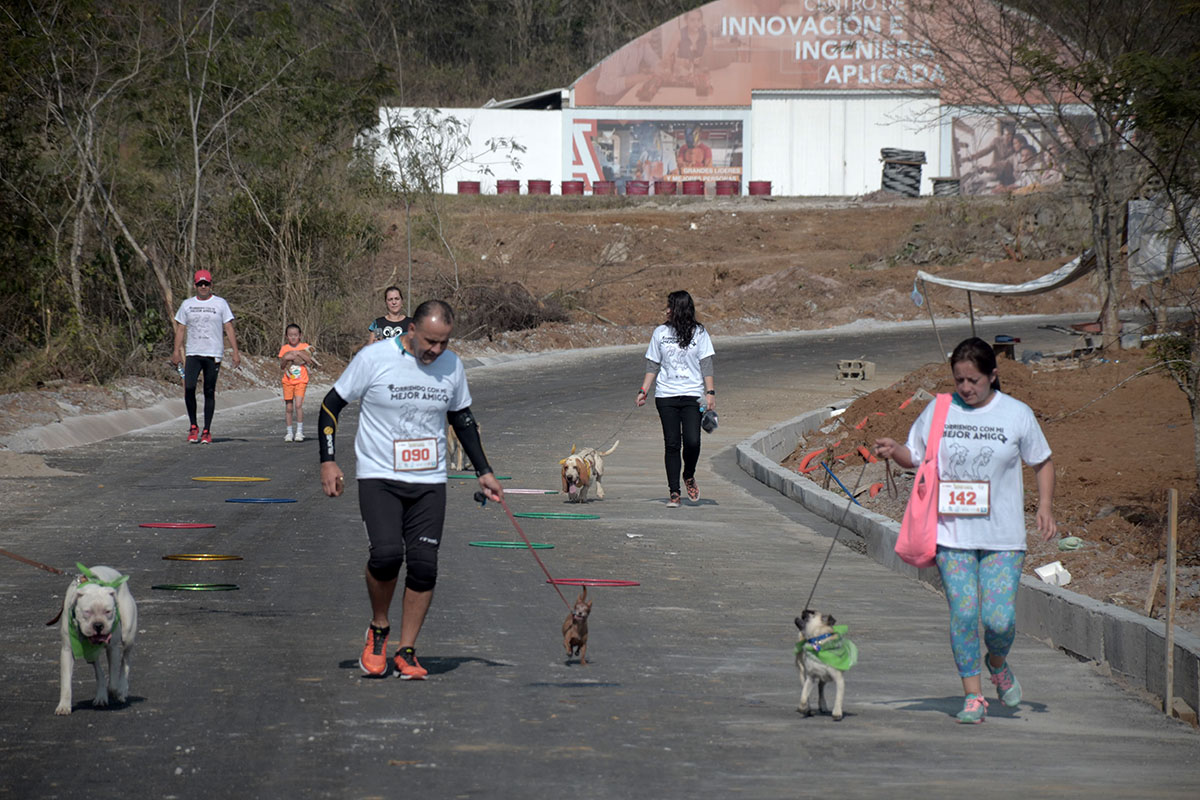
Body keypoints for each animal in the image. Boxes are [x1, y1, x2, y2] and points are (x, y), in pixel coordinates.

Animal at [56, 566, 137, 714]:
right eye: (87, 612)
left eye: (108, 611)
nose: (98, 625)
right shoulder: (67, 650)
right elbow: (66, 682)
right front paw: (64, 706)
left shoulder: (113, 648)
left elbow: (113, 683)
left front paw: (116, 691)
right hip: (90, 653)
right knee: (99, 670)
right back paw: (101, 696)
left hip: (128, 634)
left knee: (125, 660)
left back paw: (122, 689)